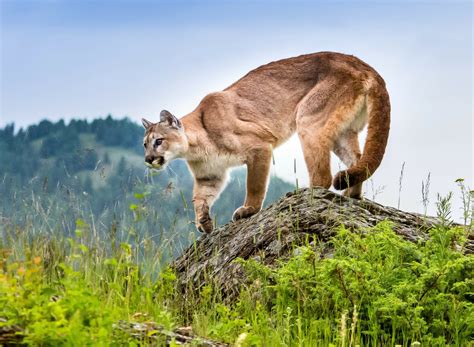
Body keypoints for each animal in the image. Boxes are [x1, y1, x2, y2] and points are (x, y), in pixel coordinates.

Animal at [143, 52, 390, 234]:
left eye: (158, 141)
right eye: (144, 144)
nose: (148, 159)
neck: (196, 147)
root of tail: (364, 65)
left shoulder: (259, 147)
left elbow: (254, 185)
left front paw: (249, 210)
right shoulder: (210, 175)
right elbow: (199, 198)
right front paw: (203, 222)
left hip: (309, 119)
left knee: (324, 175)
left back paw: (309, 194)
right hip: (342, 132)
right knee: (358, 160)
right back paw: (351, 195)